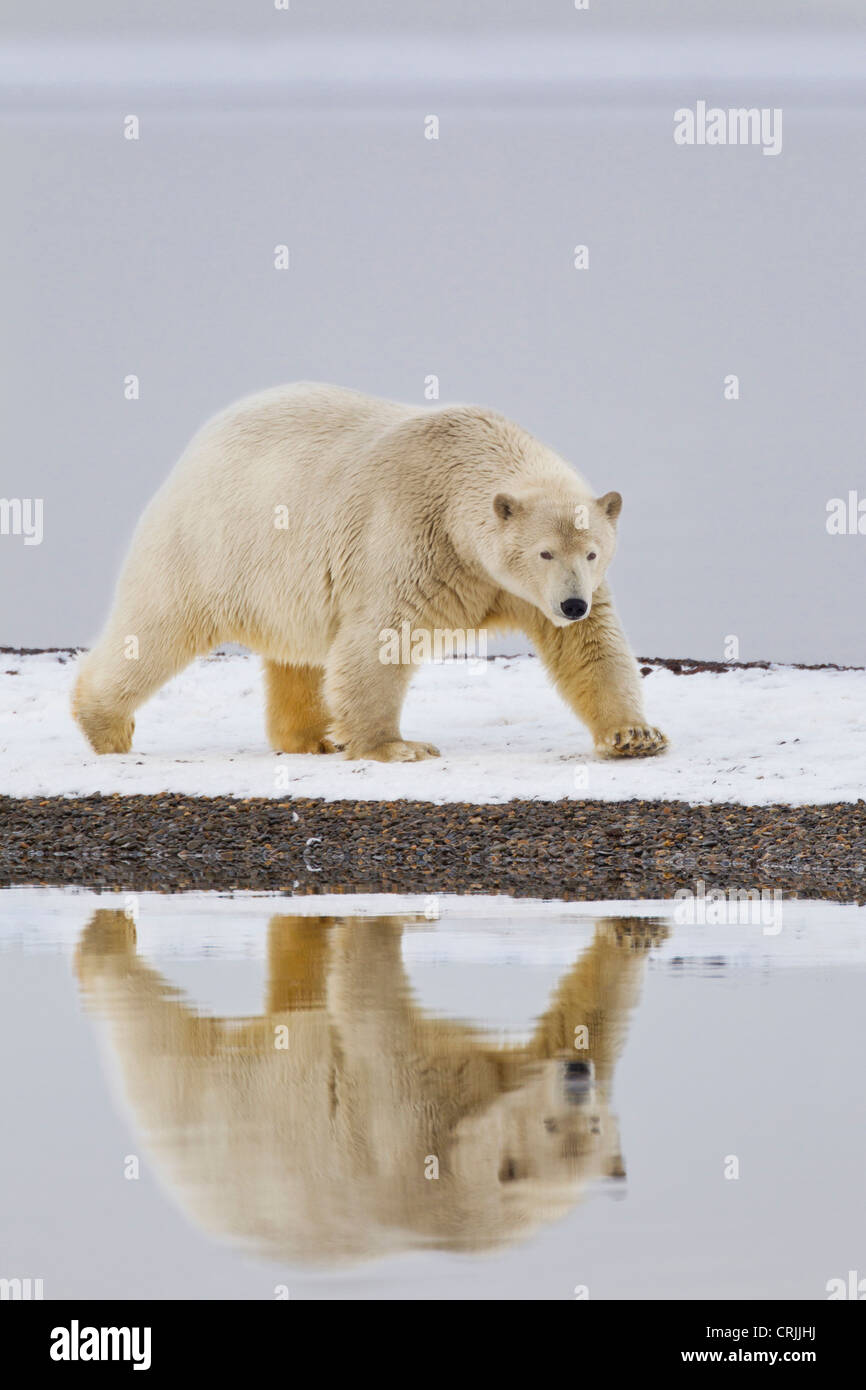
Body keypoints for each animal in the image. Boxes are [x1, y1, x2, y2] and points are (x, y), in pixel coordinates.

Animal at [76, 380, 670, 761]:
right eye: (544, 552)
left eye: (592, 552)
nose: (572, 603)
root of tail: (196, 446)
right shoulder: (413, 536)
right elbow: (383, 637)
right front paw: (398, 746)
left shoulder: (519, 587)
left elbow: (590, 646)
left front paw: (636, 737)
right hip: (209, 546)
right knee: (156, 629)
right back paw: (105, 726)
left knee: (299, 656)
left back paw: (312, 738)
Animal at [76, 906, 670, 1267]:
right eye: (549, 1125)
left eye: (594, 1126)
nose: (577, 1076)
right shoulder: (407, 1124)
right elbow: (369, 995)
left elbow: (579, 1021)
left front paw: (635, 931)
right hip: (205, 1100)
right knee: (153, 1034)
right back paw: (107, 941)